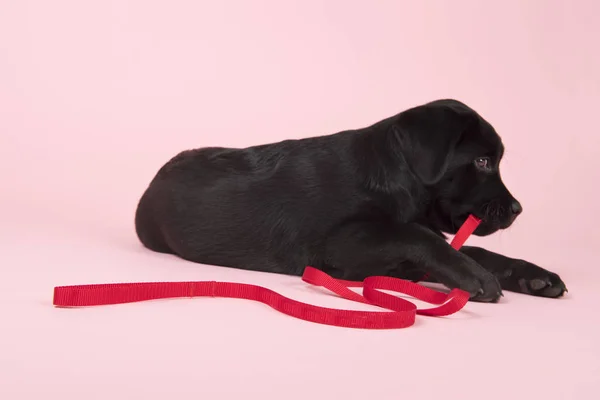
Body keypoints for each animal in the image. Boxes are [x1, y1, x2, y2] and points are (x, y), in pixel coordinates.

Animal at [135, 98, 568, 302]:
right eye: (481, 161)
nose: (517, 209)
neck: (393, 177)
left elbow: (472, 250)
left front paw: (532, 275)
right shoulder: (336, 247)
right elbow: (415, 235)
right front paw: (472, 276)